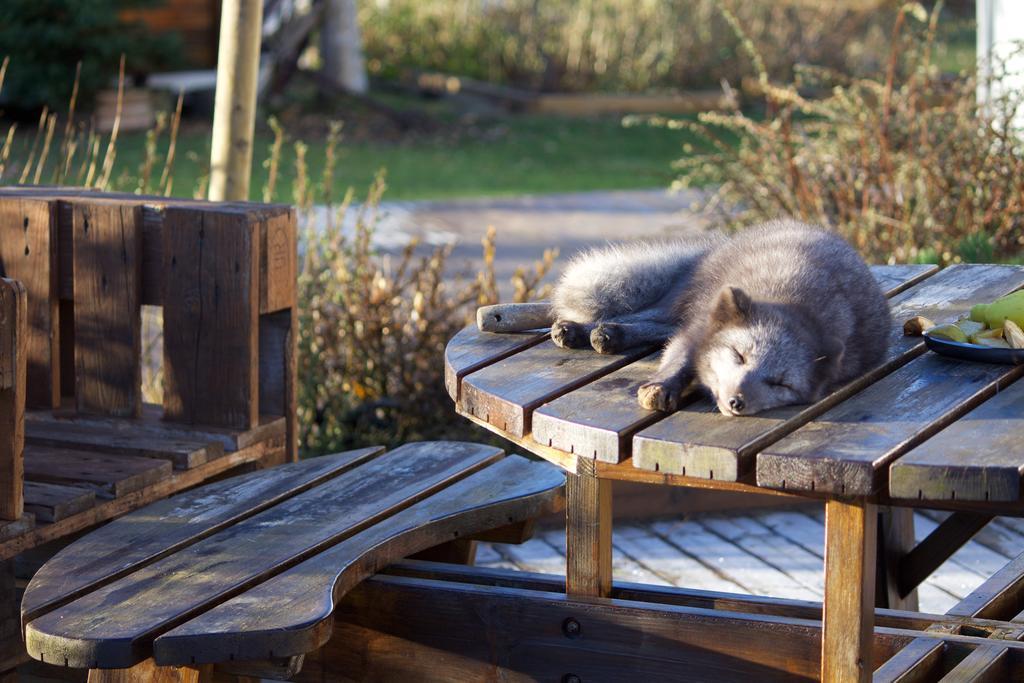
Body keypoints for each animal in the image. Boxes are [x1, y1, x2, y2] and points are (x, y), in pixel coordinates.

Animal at [548, 223, 892, 417]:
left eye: (780, 383)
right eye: (739, 356)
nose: (737, 401)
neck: (794, 303)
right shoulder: (698, 330)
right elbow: (680, 357)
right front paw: (662, 385)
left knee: (662, 328)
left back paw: (610, 335)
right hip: (684, 301)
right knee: (646, 317)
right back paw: (581, 330)